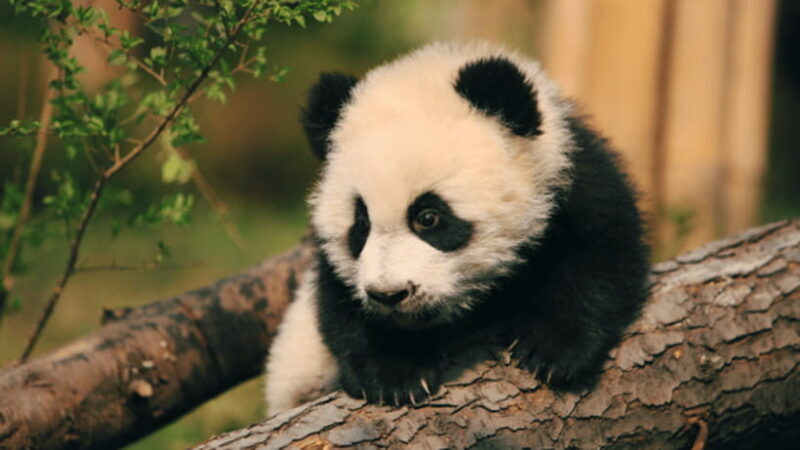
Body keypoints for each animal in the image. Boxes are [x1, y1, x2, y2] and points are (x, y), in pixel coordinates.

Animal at [265, 41, 649, 415]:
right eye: (361, 223)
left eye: (428, 217)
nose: (389, 295)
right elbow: (340, 305)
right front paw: (394, 372)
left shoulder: (572, 178)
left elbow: (601, 252)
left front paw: (554, 349)